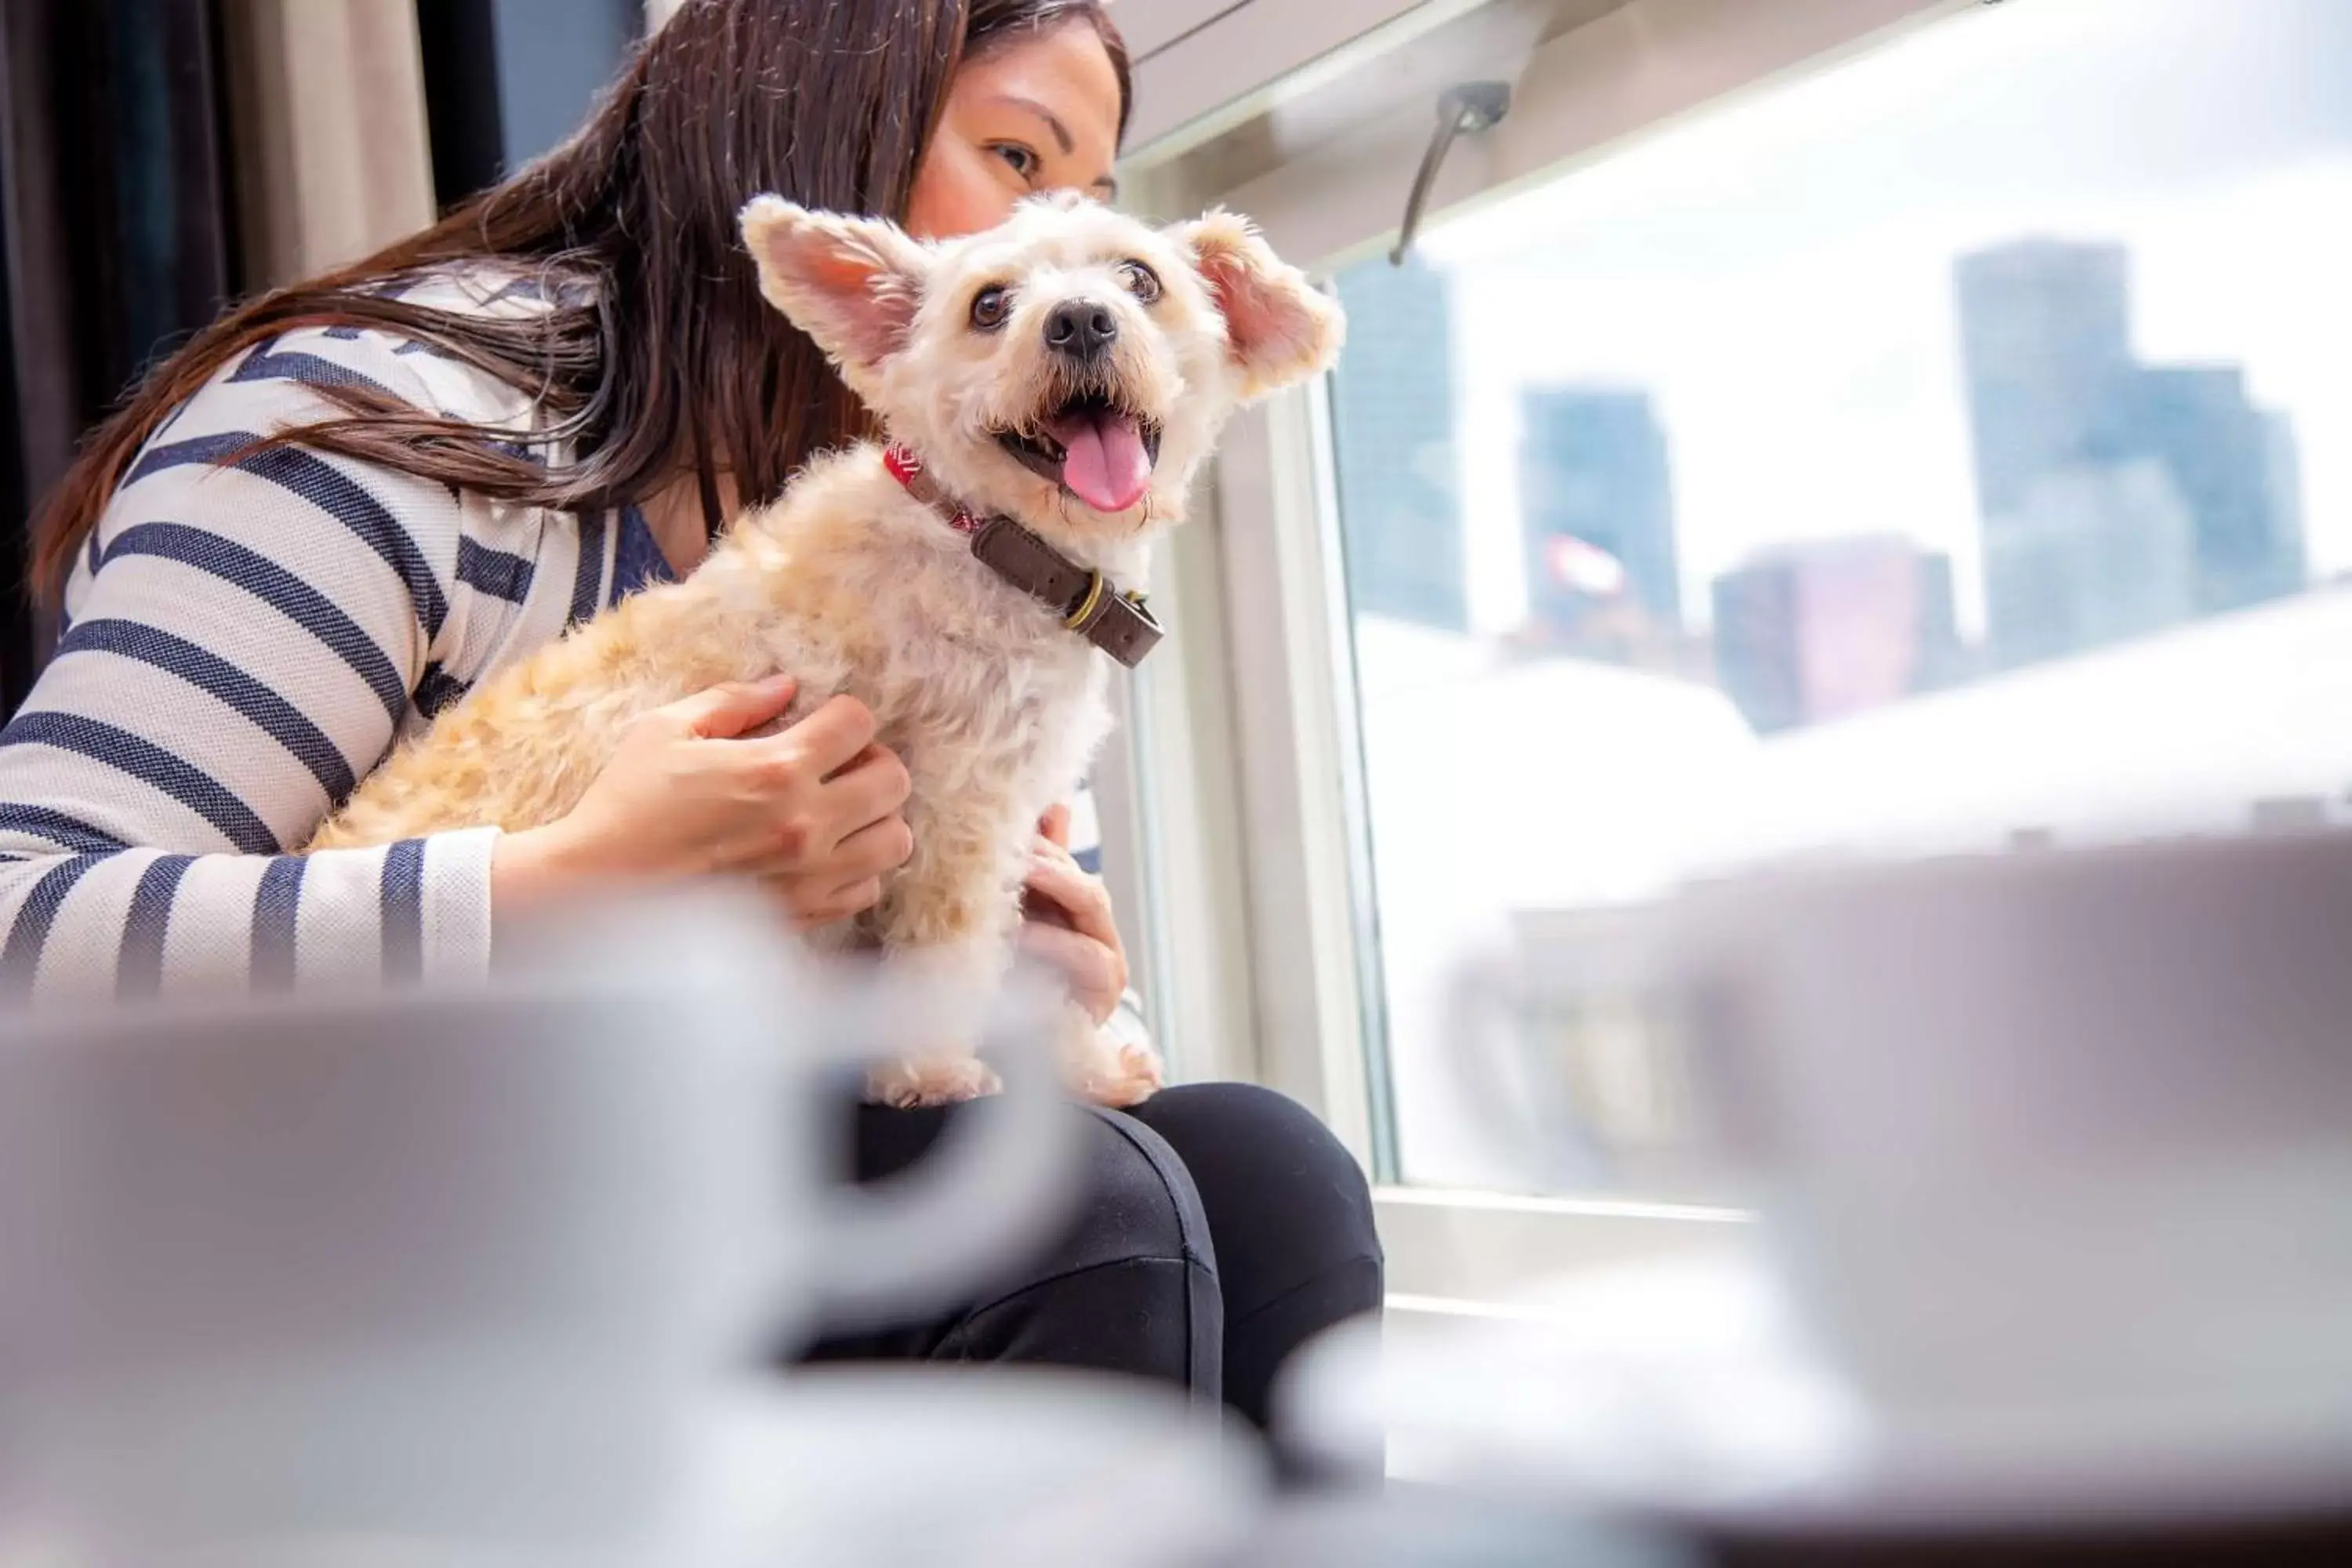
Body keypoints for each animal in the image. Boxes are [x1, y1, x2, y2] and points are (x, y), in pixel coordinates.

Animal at [308, 192, 1345, 1105]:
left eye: (1138, 277)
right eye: (990, 305)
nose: (1081, 320)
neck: (989, 540)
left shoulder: (1014, 827)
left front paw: (1082, 1066)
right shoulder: (958, 816)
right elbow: (949, 953)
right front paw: (929, 1072)